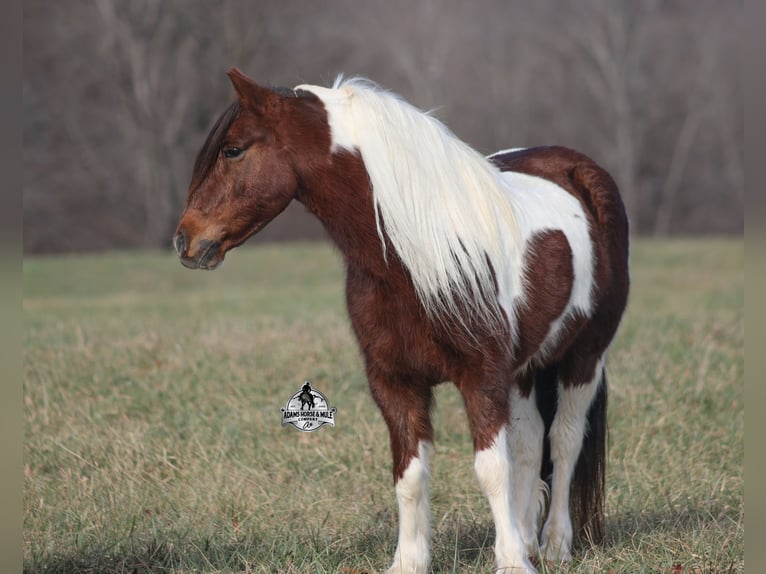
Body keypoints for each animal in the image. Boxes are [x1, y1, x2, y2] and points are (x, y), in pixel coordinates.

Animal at [174, 68, 629, 574]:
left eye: (233, 150)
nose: (185, 240)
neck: (413, 255)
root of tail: (576, 167)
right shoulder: (394, 381)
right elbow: (410, 475)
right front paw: (411, 561)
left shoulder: (482, 377)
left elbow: (492, 469)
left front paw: (510, 562)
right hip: (526, 368)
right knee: (532, 442)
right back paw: (529, 538)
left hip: (585, 357)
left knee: (565, 441)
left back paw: (553, 544)